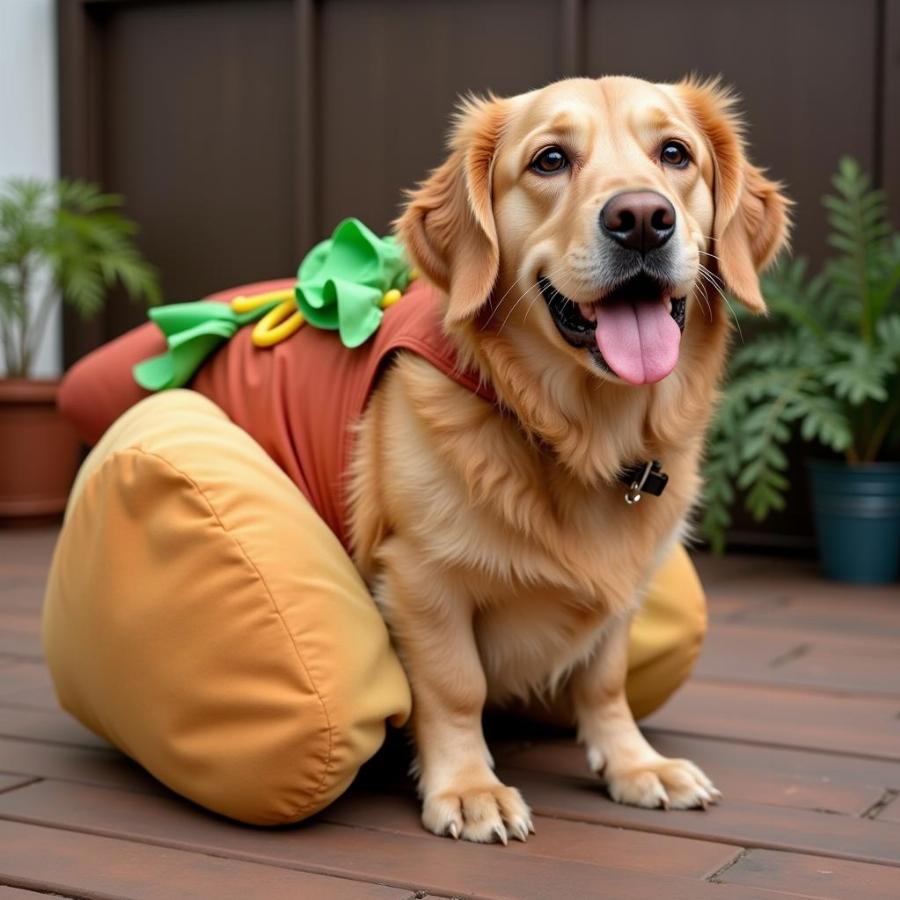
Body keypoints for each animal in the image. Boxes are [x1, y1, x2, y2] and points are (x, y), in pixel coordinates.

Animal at [348, 75, 784, 844]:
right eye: (550, 160)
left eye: (675, 153)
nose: (641, 219)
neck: (583, 431)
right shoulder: (420, 578)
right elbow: (456, 687)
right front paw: (469, 787)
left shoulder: (624, 586)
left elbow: (604, 679)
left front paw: (636, 765)